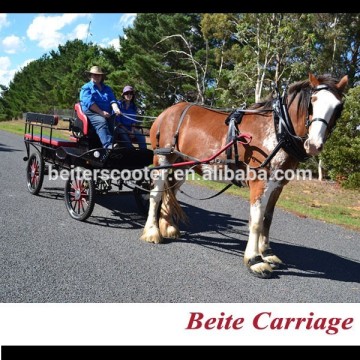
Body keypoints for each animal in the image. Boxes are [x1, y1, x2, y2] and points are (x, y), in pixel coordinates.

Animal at [140, 73, 346, 278]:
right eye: (313, 101)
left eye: (338, 108)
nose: (314, 145)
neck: (278, 130)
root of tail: (168, 111)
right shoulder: (259, 182)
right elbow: (256, 220)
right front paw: (255, 260)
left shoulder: (277, 185)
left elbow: (267, 218)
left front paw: (267, 252)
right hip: (162, 158)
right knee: (156, 194)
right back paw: (152, 232)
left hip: (183, 164)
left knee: (171, 190)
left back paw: (168, 227)